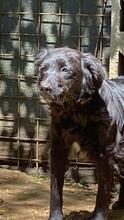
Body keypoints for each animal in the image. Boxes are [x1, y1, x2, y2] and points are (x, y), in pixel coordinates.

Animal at [35, 47, 124, 219]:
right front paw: (55, 216)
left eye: (65, 70)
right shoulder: (58, 148)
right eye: (43, 68)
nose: (44, 88)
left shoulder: (107, 153)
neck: (75, 110)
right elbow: (55, 188)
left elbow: (103, 191)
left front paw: (98, 217)